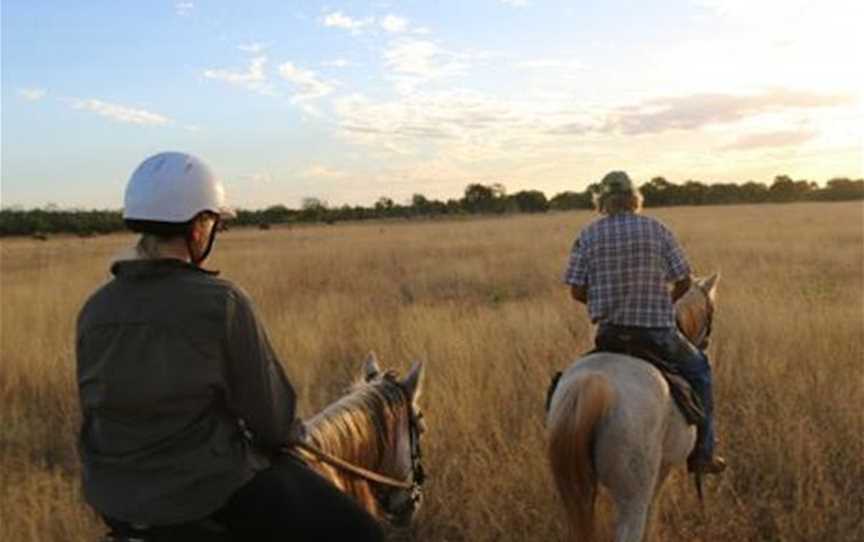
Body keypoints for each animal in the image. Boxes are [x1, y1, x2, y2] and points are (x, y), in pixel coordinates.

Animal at [548, 276, 724, 542]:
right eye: (711, 310)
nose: (705, 343)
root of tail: (592, 383)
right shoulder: (662, 469)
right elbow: (653, 510)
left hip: (573, 490)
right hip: (632, 495)